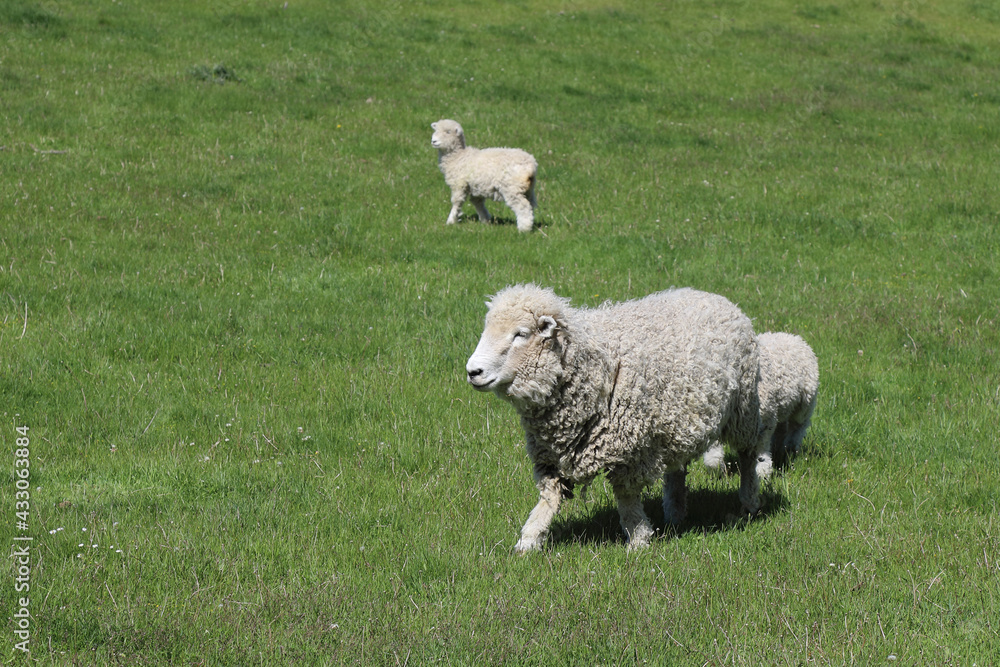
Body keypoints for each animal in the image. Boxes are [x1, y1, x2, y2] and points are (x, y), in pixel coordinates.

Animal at [465, 284, 767, 551]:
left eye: (521, 334)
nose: (473, 371)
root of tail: (716, 297)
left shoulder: (630, 451)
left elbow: (627, 498)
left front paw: (638, 541)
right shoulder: (550, 455)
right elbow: (548, 499)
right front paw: (528, 542)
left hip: (744, 409)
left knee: (748, 455)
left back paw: (749, 502)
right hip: (676, 423)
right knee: (677, 469)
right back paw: (675, 512)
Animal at [703, 331, 819, 477]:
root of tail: (792, 337)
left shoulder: (765, 420)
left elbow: (760, 448)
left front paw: (762, 472)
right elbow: (712, 456)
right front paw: (718, 469)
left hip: (804, 404)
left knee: (798, 426)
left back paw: (790, 448)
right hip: (782, 406)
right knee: (782, 428)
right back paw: (779, 448)